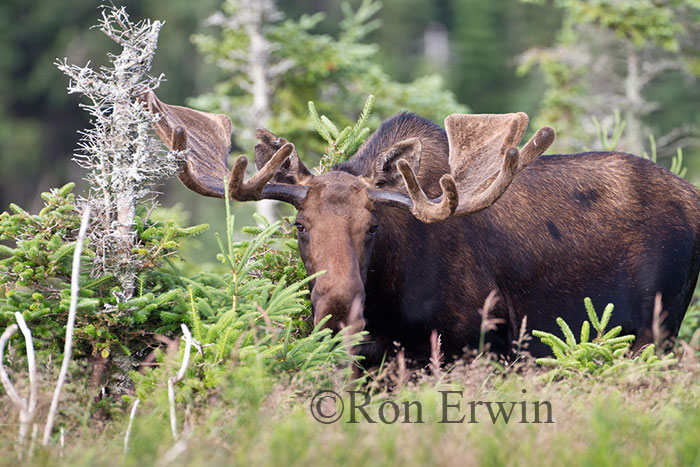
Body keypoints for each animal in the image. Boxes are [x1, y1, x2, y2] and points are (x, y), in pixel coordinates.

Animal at [144, 92, 700, 370]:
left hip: (656, 328)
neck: (390, 305)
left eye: (372, 227)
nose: (338, 306)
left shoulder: (481, 345)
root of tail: (693, 199)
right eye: (300, 226)